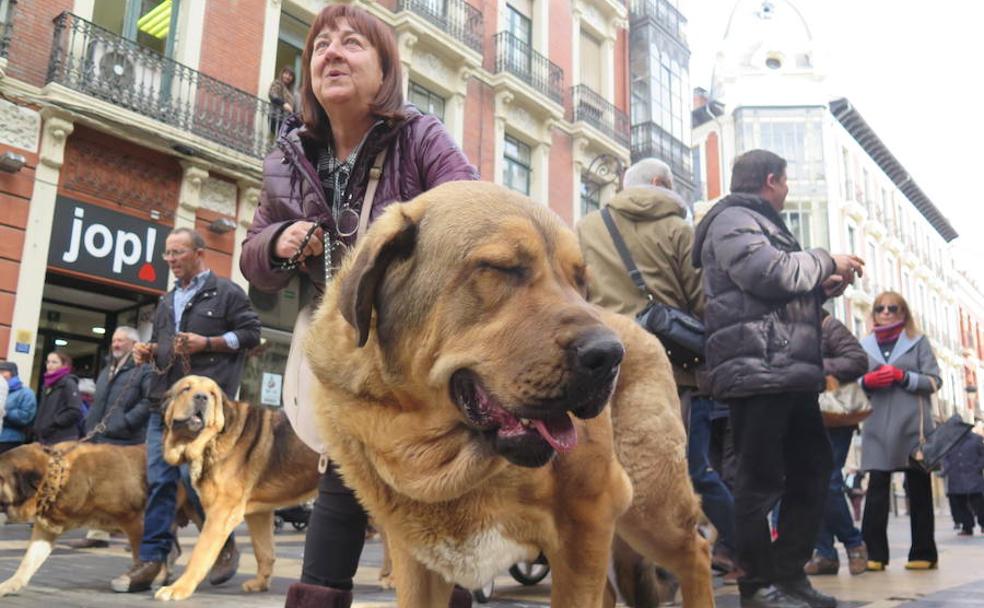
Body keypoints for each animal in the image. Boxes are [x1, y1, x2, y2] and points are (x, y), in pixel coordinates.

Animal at [157, 378, 320, 600]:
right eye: (186, 389)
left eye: (212, 394)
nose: (201, 397)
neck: (212, 440)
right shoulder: (259, 514)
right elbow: (264, 551)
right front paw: (261, 583)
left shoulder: (220, 513)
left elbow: (200, 554)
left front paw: (178, 588)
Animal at [304, 182, 712, 608]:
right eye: (503, 268)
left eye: (580, 281)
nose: (610, 355)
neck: (435, 457)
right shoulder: (416, 557)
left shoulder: (587, 523)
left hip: (651, 505)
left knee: (696, 553)